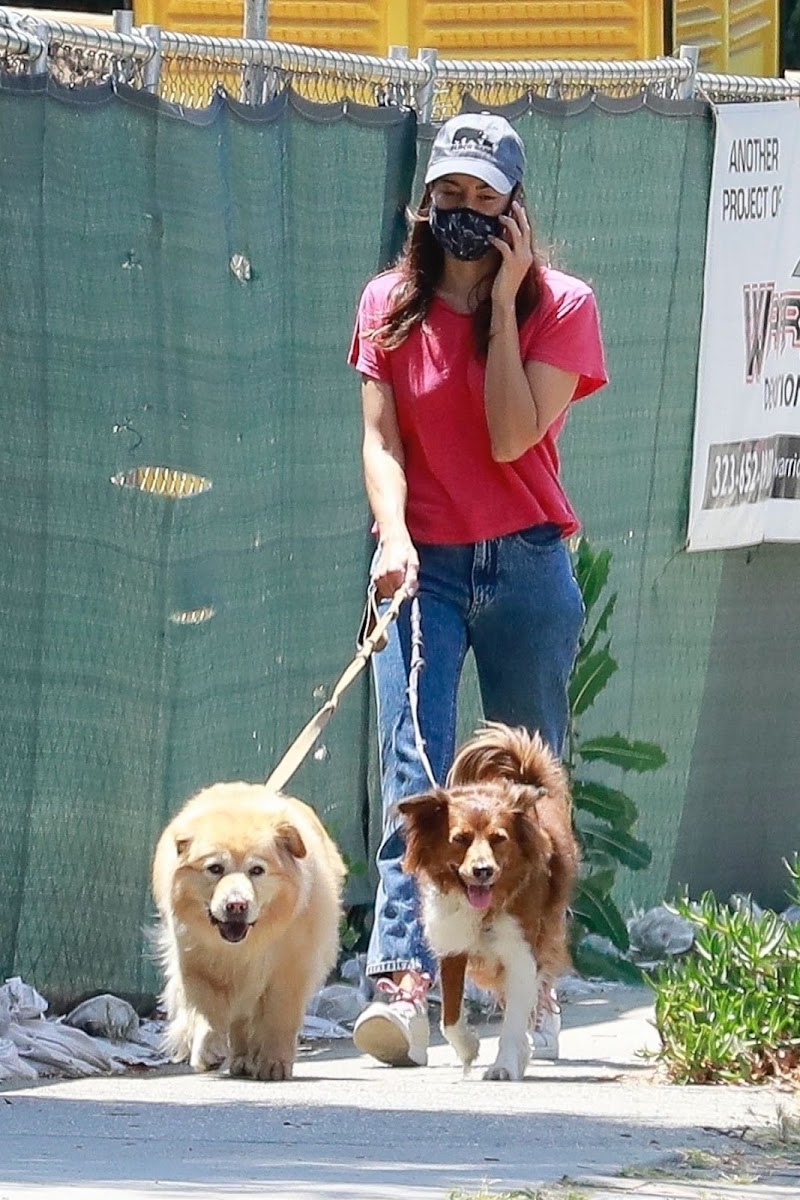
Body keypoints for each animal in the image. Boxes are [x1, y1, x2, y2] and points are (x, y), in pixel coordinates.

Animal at [151, 782, 345, 1084]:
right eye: (215, 869)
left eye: (257, 870)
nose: (236, 905)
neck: (244, 946)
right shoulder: (196, 962)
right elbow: (208, 1008)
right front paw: (208, 1049)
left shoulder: (289, 972)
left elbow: (279, 1019)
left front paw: (275, 1063)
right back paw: (241, 1060)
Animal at [398, 724, 575, 1084]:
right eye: (460, 839)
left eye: (498, 839)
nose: (483, 870)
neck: (484, 909)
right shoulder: (452, 948)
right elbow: (450, 1017)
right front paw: (468, 1049)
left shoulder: (521, 953)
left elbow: (514, 1022)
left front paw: (505, 1064)